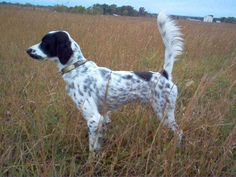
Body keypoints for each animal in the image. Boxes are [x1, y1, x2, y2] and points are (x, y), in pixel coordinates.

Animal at [26, 12, 184, 153]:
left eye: (45, 43)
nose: (28, 50)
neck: (77, 68)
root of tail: (164, 75)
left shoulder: (93, 118)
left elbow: (92, 148)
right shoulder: (103, 117)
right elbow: (98, 143)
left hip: (164, 113)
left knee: (179, 132)